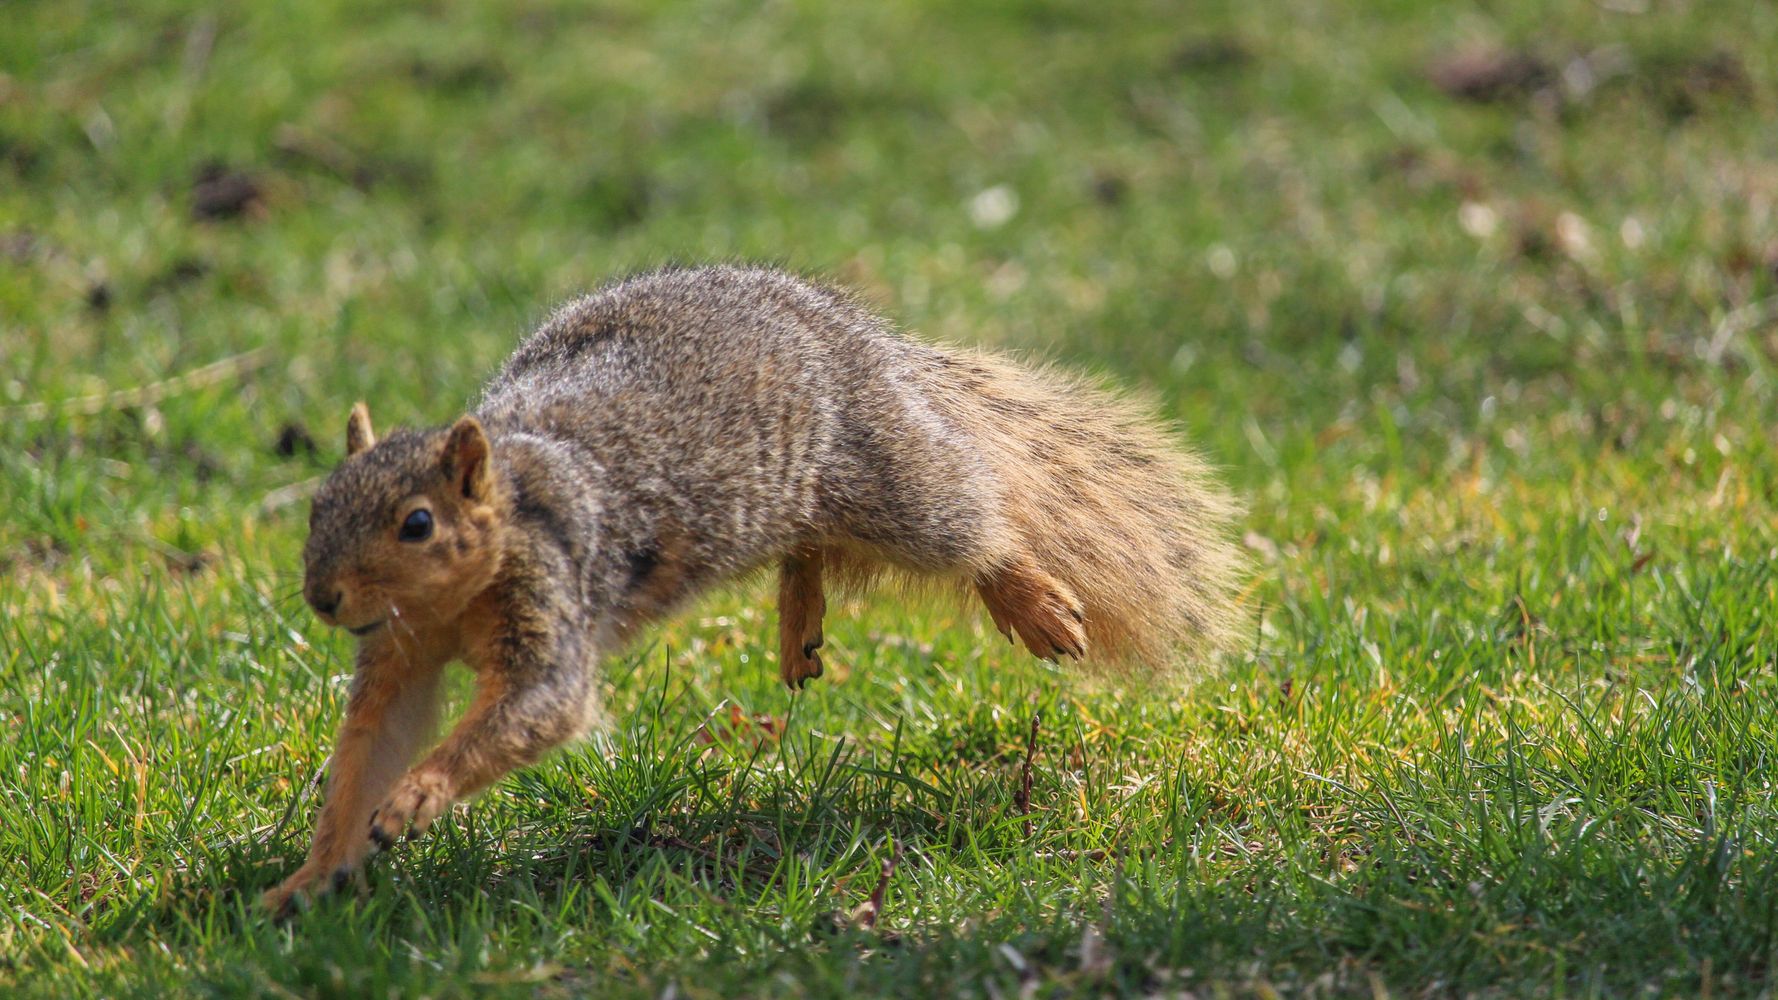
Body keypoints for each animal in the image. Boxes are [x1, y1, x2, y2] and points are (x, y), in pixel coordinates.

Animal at [260, 265, 1245, 916]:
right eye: (316, 505)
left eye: (418, 524)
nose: (323, 599)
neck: (451, 601)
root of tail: (853, 331)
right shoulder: (396, 654)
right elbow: (366, 750)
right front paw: (309, 879)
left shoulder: (553, 602)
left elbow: (536, 709)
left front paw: (417, 798)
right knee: (808, 546)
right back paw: (798, 621)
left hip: (887, 477)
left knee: (971, 522)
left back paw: (1030, 602)